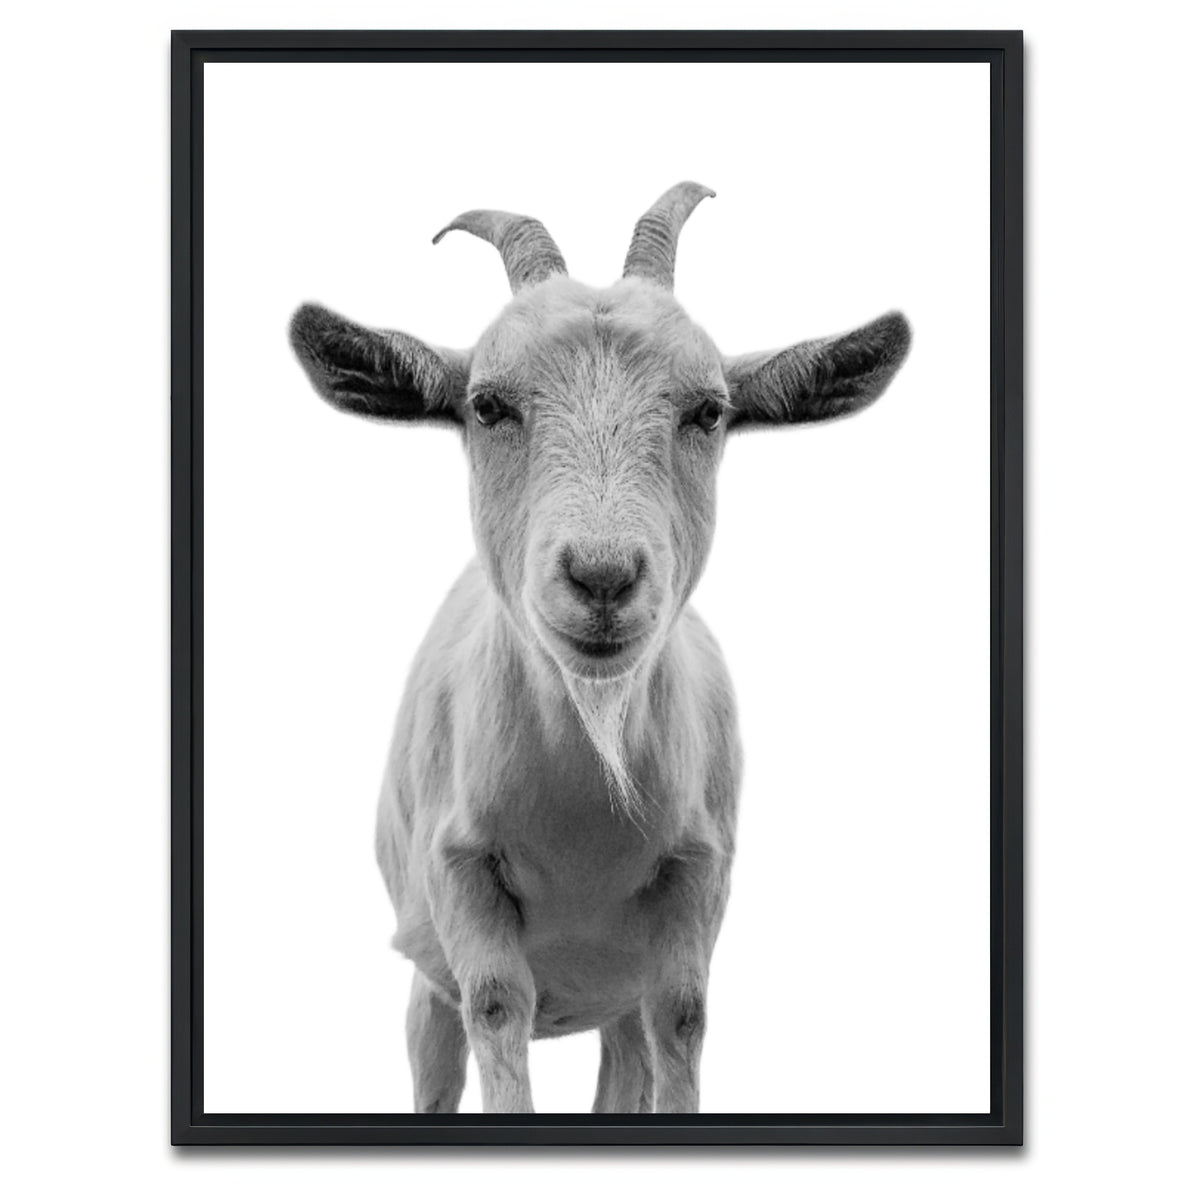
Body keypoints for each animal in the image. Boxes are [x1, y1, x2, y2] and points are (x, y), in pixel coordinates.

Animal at [289, 182, 911, 1114]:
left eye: (709, 410)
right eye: (487, 405)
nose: (603, 576)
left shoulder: (697, 877)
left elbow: (682, 1016)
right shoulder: (460, 873)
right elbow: (496, 1006)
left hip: (613, 998)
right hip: (425, 980)